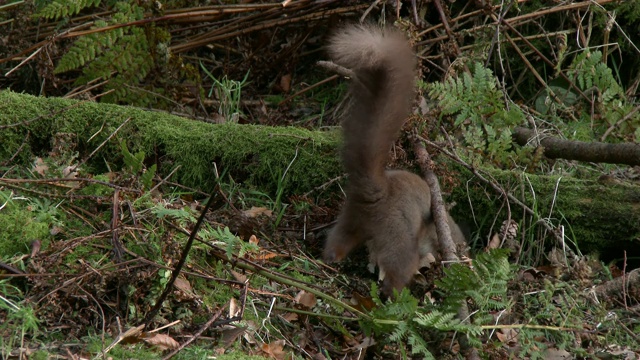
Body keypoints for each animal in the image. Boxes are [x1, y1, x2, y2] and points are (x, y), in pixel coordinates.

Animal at [322, 23, 462, 296]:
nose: (463, 253)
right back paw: (394, 293)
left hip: (353, 216)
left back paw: (330, 258)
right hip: (398, 234)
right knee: (399, 267)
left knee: (339, 239)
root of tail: (379, 192)